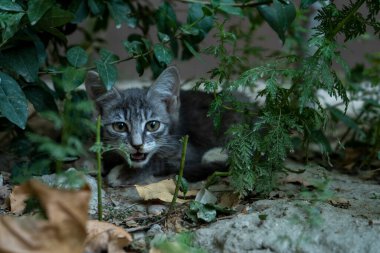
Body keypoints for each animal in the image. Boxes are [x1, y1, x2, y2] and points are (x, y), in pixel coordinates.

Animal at [85, 66, 239, 187]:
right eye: (120, 127)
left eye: (153, 125)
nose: (137, 145)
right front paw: (93, 161)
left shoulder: (188, 149)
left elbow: (160, 160)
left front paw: (125, 173)